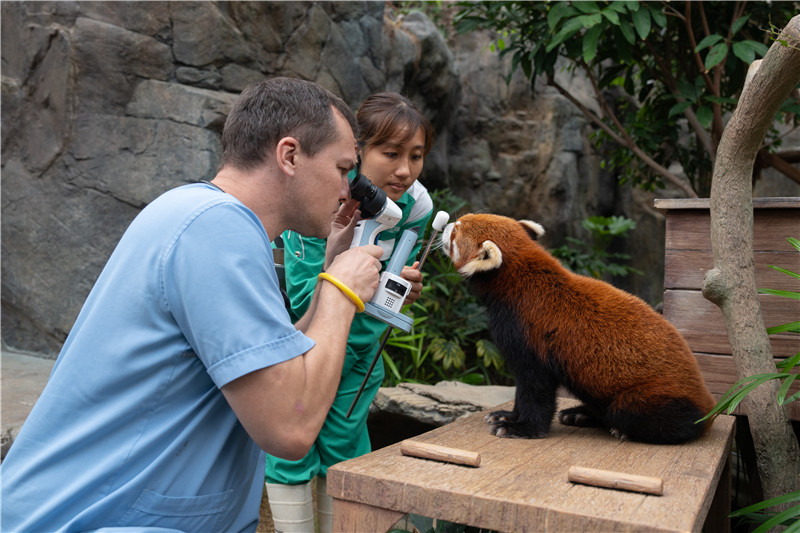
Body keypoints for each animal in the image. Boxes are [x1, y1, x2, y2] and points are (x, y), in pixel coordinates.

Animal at [440, 214, 716, 442]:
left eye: (456, 230)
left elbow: (535, 388)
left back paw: (621, 429)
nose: (444, 225)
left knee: (633, 412)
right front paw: (507, 415)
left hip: (650, 396)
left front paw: (521, 428)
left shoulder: (530, 335)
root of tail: (709, 403)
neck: (515, 282)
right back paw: (580, 414)